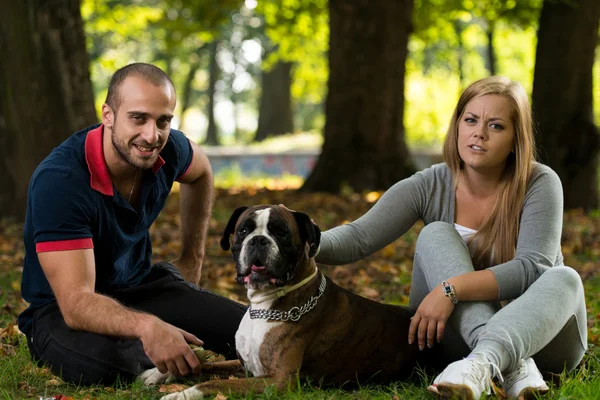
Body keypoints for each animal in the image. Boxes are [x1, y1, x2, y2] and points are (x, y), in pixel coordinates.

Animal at [143, 205, 420, 398]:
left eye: (281, 232)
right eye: (244, 230)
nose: (258, 240)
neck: (263, 307)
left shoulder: (278, 381)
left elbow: (213, 381)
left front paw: (182, 394)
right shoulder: (245, 368)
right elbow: (208, 364)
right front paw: (160, 373)